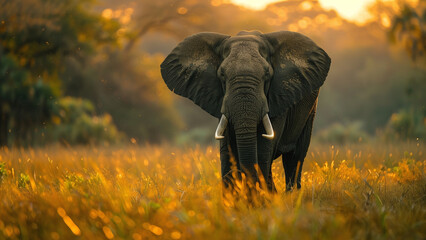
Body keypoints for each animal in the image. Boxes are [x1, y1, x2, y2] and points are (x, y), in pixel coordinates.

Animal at [161, 30, 332, 195]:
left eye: (267, 74)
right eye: (222, 75)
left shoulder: (278, 96)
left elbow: (263, 149)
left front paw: (259, 200)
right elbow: (228, 151)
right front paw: (234, 202)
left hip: (310, 109)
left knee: (295, 157)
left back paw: (291, 196)